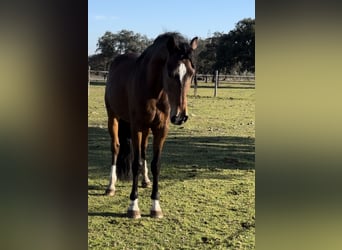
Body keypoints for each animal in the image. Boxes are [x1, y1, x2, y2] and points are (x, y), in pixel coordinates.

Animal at [103, 32, 198, 218]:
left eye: (191, 73)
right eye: (171, 73)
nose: (180, 116)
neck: (154, 90)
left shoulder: (161, 129)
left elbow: (156, 164)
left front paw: (155, 206)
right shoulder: (137, 127)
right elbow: (135, 163)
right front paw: (133, 207)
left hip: (146, 129)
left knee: (143, 150)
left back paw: (145, 180)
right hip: (114, 118)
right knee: (116, 147)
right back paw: (111, 186)